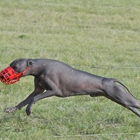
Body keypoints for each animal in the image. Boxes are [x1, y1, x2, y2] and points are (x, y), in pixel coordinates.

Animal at [3, 58, 140, 117]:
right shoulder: (38, 89)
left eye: (15, 66)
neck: (40, 67)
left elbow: (33, 99)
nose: (2, 74)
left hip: (123, 98)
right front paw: (11, 109)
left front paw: (29, 110)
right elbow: (25, 100)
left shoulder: (53, 90)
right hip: (123, 101)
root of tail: (110, 80)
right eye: (11, 64)